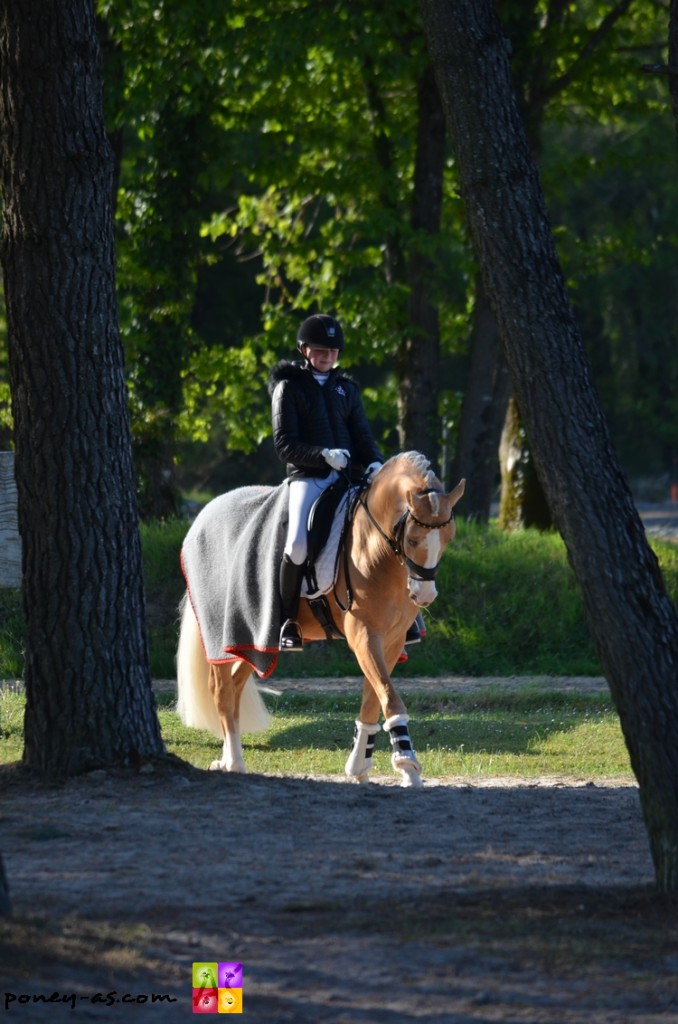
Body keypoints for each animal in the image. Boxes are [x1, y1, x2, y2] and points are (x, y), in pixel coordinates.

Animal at [176, 452, 467, 786]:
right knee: (221, 689)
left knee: (235, 686)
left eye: (449, 536)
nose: (425, 595)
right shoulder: (364, 636)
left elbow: (374, 698)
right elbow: (389, 697)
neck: (375, 550)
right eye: (413, 538)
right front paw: (407, 766)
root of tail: (203, 516)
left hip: (256, 644)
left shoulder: (390, 641)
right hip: (226, 634)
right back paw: (235, 762)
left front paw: (359, 767)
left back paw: (226, 759)